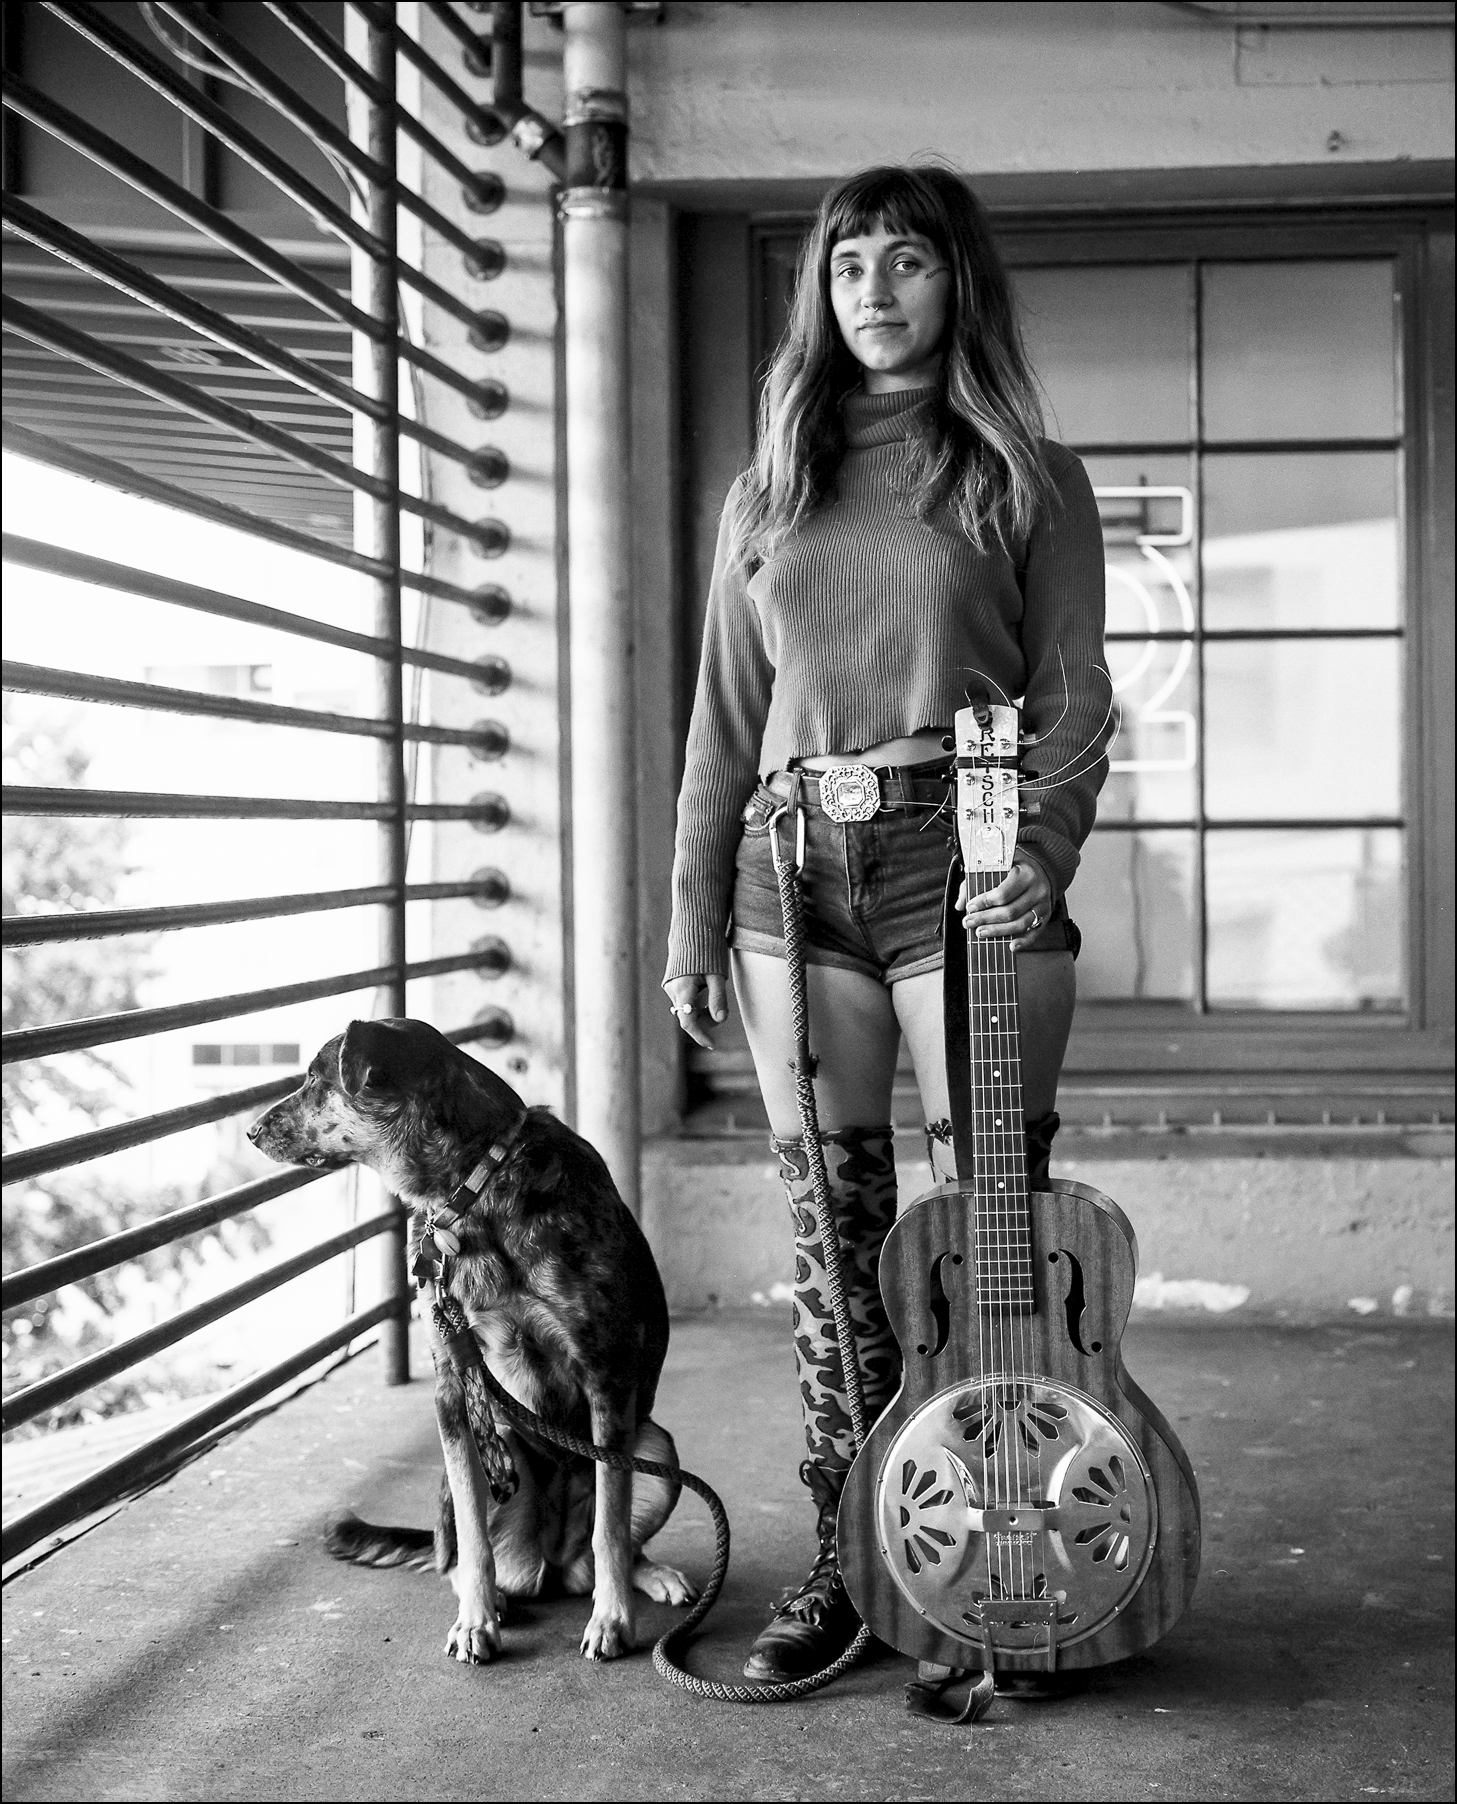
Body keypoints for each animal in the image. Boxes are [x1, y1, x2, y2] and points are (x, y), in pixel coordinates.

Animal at [247, 1017, 696, 1659]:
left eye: (314, 1078)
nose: (251, 1131)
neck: (472, 1185)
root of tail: (554, 1563)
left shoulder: (604, 1376)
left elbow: (611, 1523)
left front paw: (612, 1621)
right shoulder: (453, 1390)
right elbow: (473, 1534)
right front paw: (476, 1621)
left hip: (655, 1446)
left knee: (616, 1543)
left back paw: (648, 1577)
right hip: (493, 1455)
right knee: (452, 1553)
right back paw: (492, 1596)